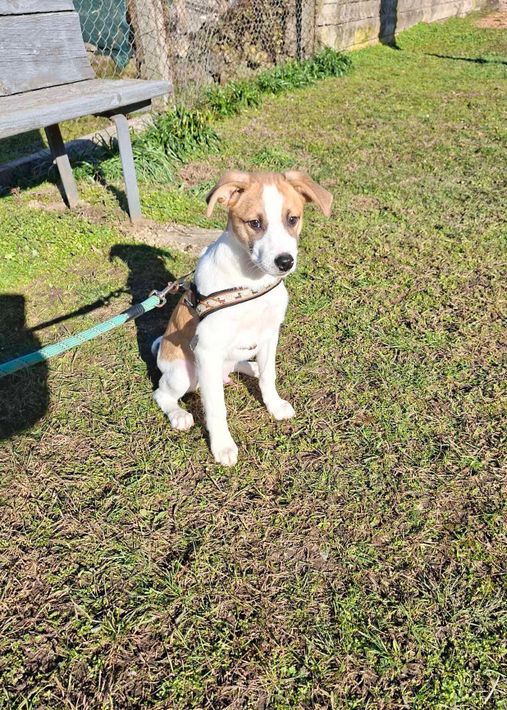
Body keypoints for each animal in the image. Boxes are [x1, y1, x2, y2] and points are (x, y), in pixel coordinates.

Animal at [152, 170, 332, 465]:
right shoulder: (207, 349)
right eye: (255, 223)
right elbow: (216, 407)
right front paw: (223, 446)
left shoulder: (270, 334)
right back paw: (179, 415)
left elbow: (269, 376)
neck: (251, 281)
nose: (285, 262)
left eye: (292, 219)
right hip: (182, 373)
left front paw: (274, 405)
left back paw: (252, 367)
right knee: (162, 392)